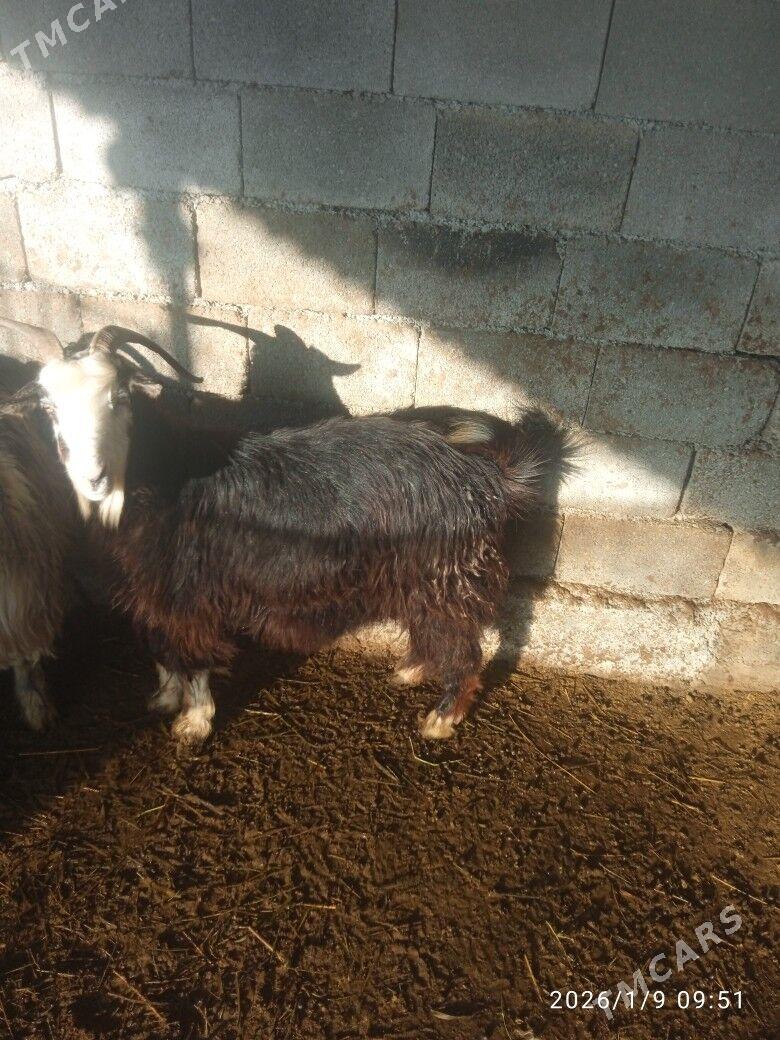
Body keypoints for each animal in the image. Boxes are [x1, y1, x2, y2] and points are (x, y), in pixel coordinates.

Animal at [32, 324, 571, 744]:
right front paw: (164, 697)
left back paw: (440, 718)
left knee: (465, 649)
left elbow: (196, 658)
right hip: (419, 579)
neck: (168, 474)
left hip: (445, 577)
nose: (93, 477)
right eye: (49, 407)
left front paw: (194, 722)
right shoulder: (151, 593)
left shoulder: (190, 596)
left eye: (118, 397)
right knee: (432, 631)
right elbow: (162, 648)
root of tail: (484, 476)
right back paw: (412, 669)